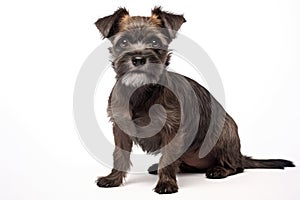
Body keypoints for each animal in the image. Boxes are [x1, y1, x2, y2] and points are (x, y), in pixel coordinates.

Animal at [94, 6, 296, 194]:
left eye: (154, 41)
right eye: (123, 42)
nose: (138, 59)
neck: (142, 91)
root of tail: (239, 155)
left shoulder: (172, 129)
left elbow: (167, 158)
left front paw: (166, 183)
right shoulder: (120, 128)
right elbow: (119, 155)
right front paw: (113, 179)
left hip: (223, 133)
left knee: (235, 167)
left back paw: (219, 170)